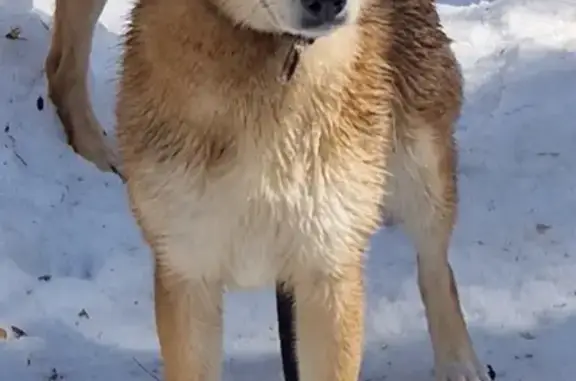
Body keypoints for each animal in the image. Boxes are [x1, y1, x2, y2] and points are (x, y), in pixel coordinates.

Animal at [47, 0, 492, 380]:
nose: (328, 4)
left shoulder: (329, 268)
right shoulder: (187, 267)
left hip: (421, 167)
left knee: (435, 268)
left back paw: (459, 362)